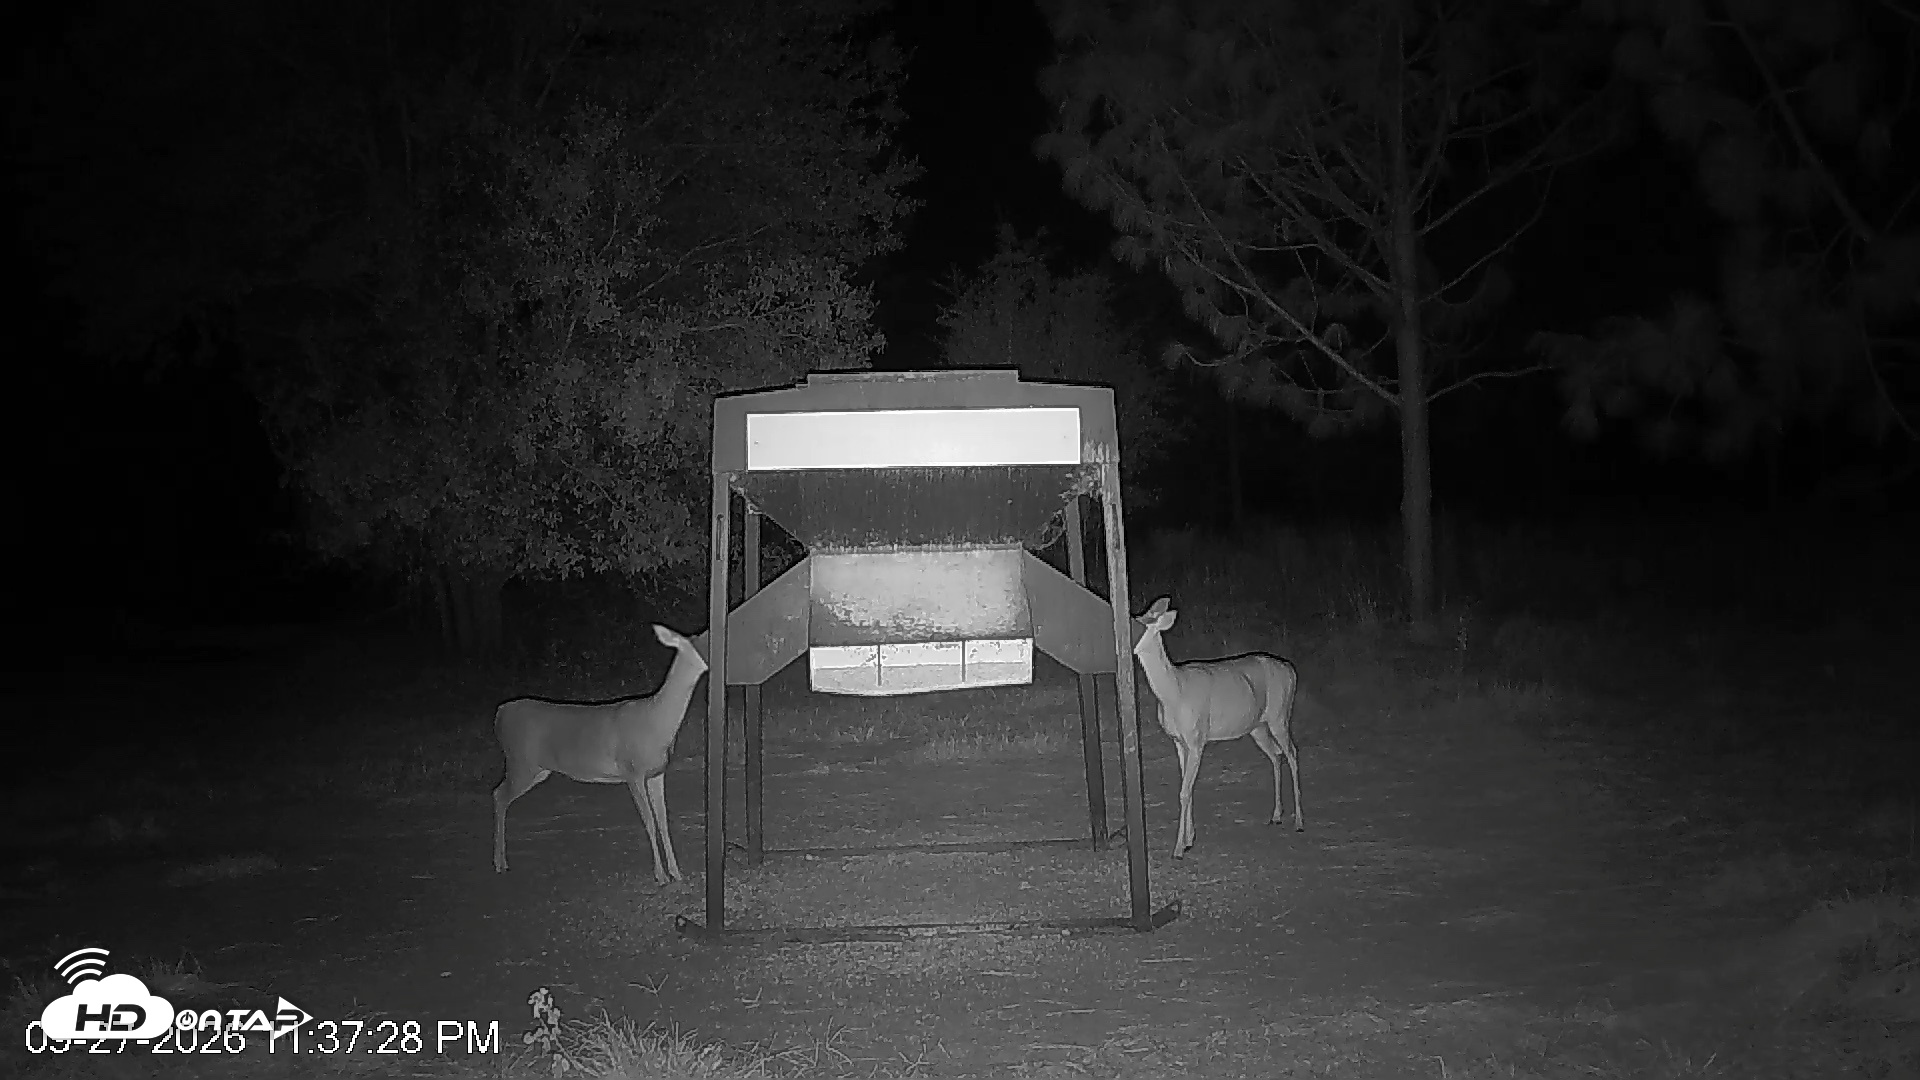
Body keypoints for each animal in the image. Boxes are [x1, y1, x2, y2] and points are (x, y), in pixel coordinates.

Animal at [491, 623, 709, 882]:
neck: (656, 722)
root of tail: (500, 714)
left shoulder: (656, 773)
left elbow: (663, 820)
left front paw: (676, 872)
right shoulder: (632, 770)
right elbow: (648, 821)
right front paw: (660, 875)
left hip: (536, 770)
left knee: (500, 795)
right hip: (520, 762)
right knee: (498, 795)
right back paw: (499, 863)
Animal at [1131, 596, 1304, 858]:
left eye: (1141, 624)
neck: (1174, 692)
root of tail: (1291, 670)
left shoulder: (1197, 738)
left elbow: (1184, 791)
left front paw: (1178, 849)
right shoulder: (1178, 741)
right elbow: (1187, 788)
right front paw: (1190, 839)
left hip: (1280, 715)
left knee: (1292, 753)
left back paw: (1299, 822)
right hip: (1257, 726)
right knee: (1276, 754)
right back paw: (1276, 815)